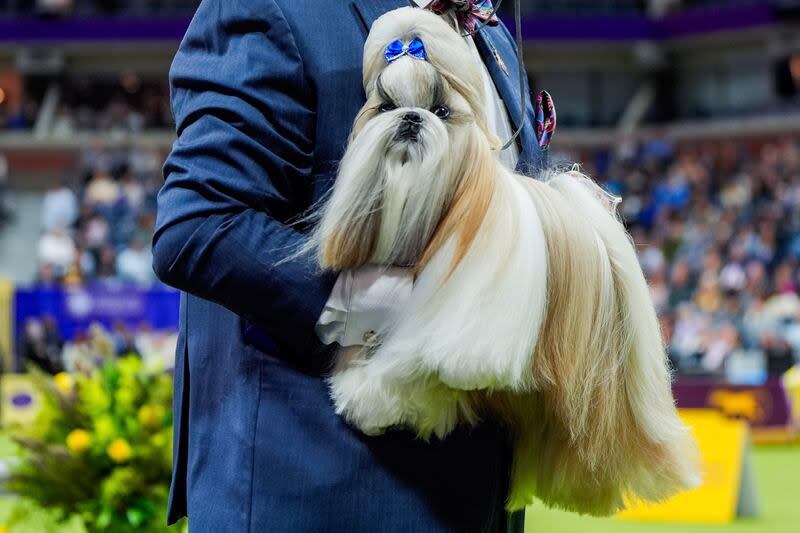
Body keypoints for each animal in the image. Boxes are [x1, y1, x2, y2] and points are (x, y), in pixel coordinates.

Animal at [310, 7, 696, 516]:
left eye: (441, 112)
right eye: (385, 106)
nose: (410, 118)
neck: (449, 208)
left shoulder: (457, 335)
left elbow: (414, 366)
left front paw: (374, 398)